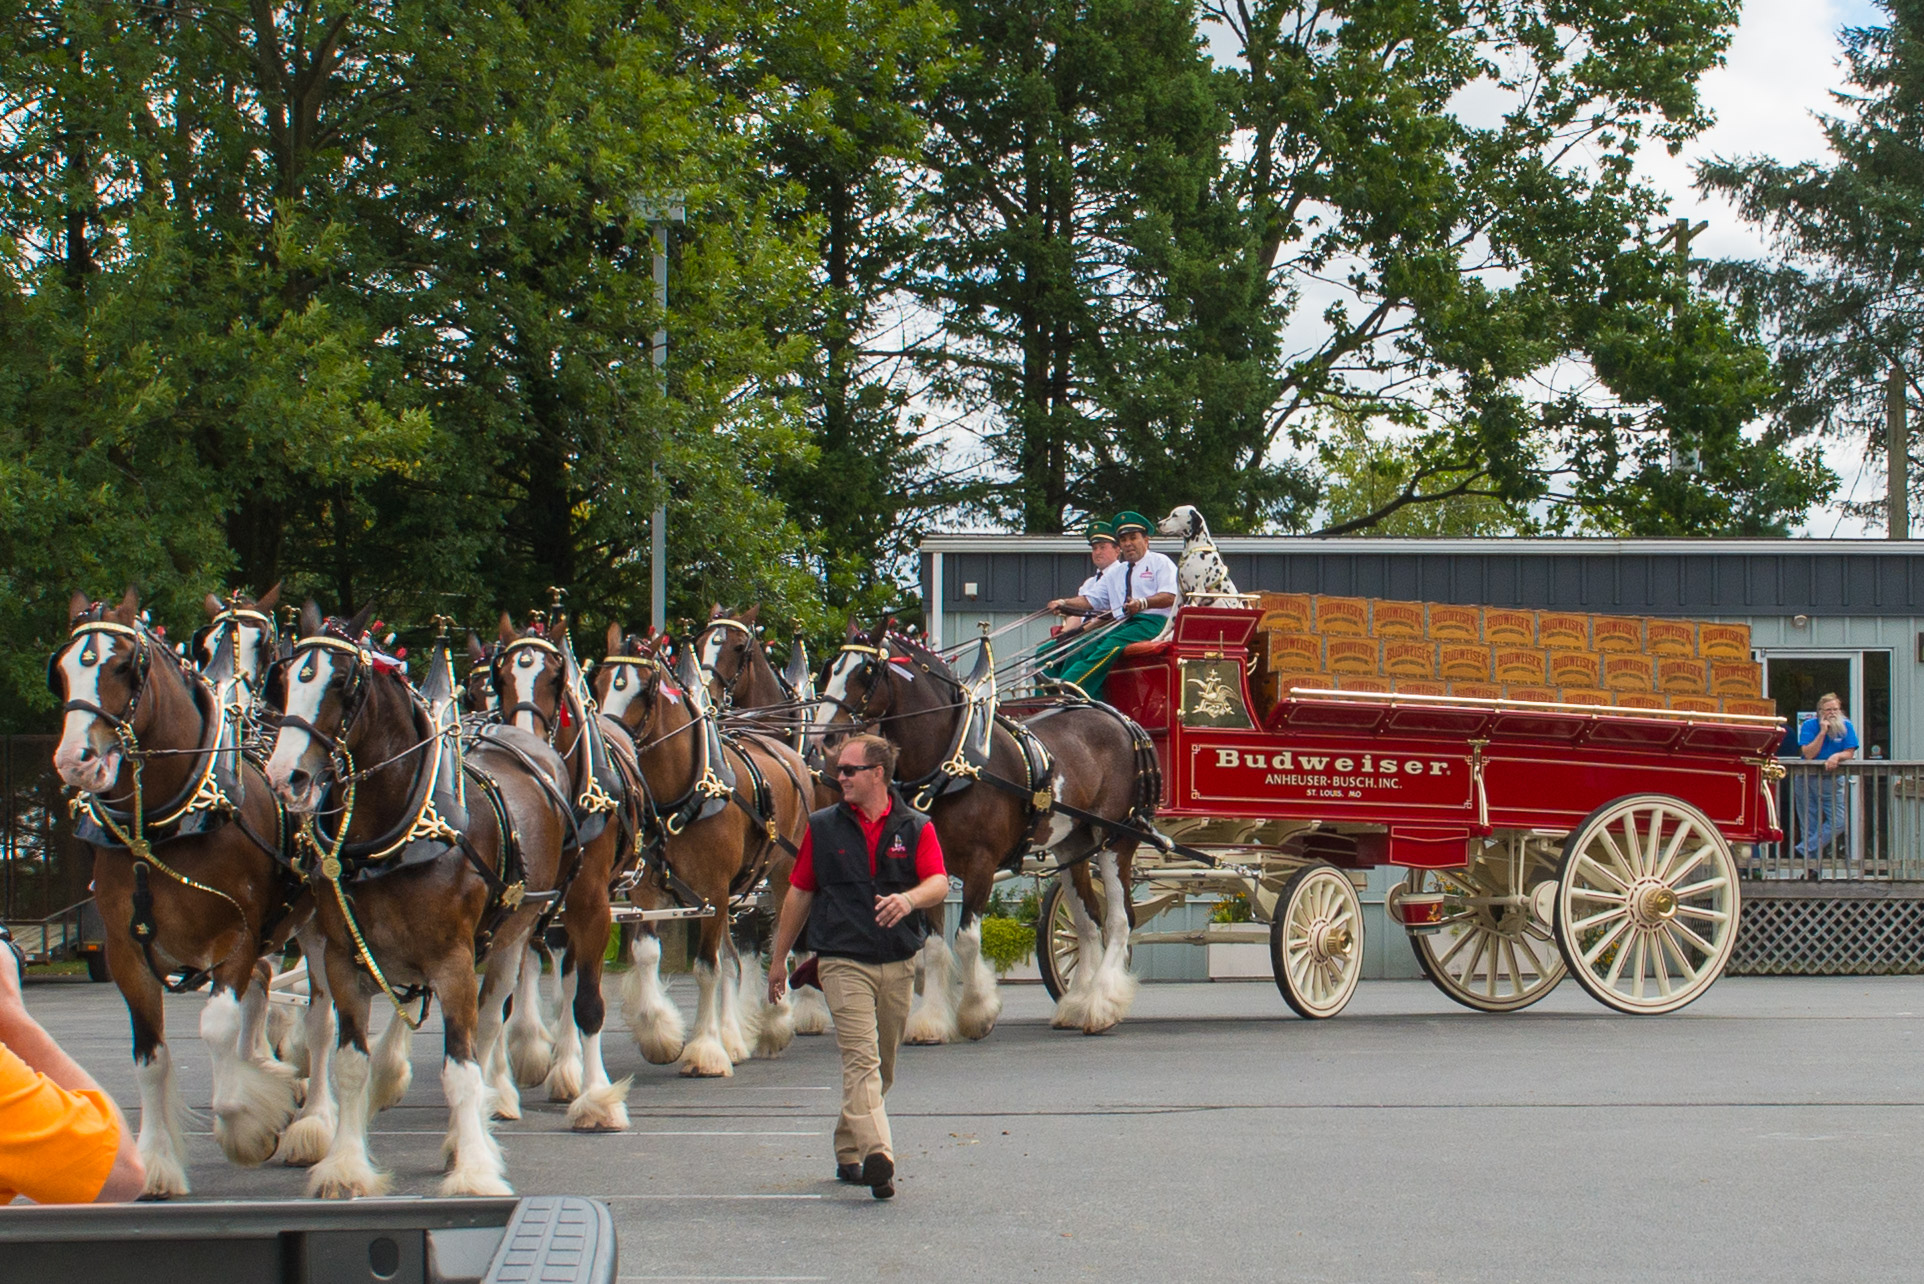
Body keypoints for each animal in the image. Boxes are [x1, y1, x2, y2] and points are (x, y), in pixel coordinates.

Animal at [49, 590, 314, 1196]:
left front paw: (247, 1123)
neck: (162, 826)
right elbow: (151, 1057)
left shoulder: (237, 935)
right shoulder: (127, 953)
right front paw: (156, 1164)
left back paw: (312, 1123)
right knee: (267, 988)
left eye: (125, 666)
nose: (75, 761)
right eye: (62, 672)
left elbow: (216, 1027)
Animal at [263, 602, 575, 1196]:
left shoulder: (453, 961)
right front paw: (345, 1164)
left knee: (488, 1027)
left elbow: (461, 1068)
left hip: (512, 936)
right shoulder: (344, 960)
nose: (284, 777)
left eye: (343, 682)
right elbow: (350, 1064)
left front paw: (473, 1167)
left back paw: (470, 1132)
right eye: (285, 680)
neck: (394, 838)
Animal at [483, 611, 632, 1130]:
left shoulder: (591, 902)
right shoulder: (520, 905)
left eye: (554, 677)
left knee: (570, 980)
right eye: (501, 678)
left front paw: (597, 1098)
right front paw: (498, 1091)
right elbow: (503, 1001)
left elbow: (586, 1000)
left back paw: (568, 1068)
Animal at [592, 626, 811, 1075]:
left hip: (782, 875)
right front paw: (659, 1034)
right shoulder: (651, 893)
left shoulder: (713, 890)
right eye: (600, 683)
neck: (684, 792)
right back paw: (735, 1036)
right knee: (734, 958)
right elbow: (647, 955)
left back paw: (775, 1022)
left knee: (781, 939)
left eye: (644, 690)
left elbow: (707, 968)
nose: (608, 741)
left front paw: (705, 1050)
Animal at [814, 620, 1160, 1037]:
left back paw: (1101, 1005)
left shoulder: (982, 862)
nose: (822, 736)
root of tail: (1120, 720)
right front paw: (931, 1021)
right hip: (1073, 843)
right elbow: (933, 944)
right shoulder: (930, 864)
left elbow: (965, 938)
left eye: (865, 672)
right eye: (830, 669)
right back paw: (1077, 1003)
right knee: (1089, 923)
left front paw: (978, 1010)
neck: (953, 763)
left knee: (1120, 921)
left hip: (1116, 838)